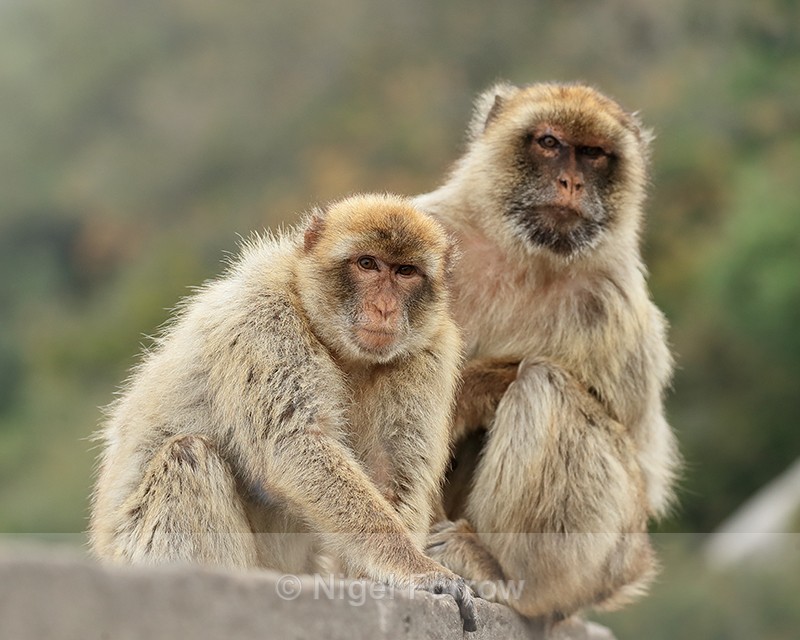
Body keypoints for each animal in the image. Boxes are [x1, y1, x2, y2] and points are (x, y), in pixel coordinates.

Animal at [89, 193, 477, 632]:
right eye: (368, 264)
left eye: (405, 271)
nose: (383, 308)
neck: (335, 342)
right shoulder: (265, 319)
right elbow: (292, 444)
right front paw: (416, 568)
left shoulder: (428, 349)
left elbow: (393, 470)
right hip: (132, 548)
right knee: (187, 456)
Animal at [412, 82, 680, 620]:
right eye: (550, 143)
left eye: (594, 154)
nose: (570, 181)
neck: (525, 255)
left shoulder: (613, 301)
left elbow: (639, 450)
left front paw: (469, 391)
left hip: (607, 562)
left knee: (547, 383)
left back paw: (506, 575)